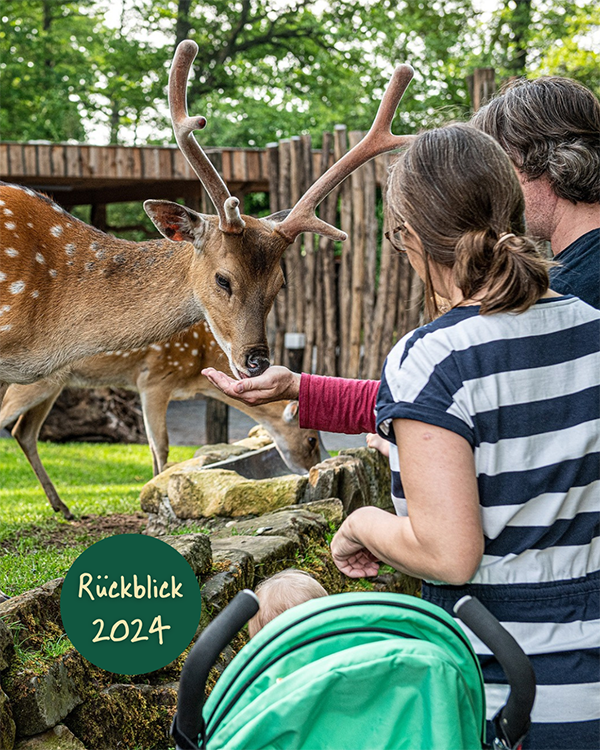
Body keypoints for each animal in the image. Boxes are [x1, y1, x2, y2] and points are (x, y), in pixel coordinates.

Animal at [0, 320, 326, 519]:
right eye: (311, 439)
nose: (313, 470)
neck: (198, 367)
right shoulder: (154, 379)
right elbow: (161, 446)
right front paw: (153, 502)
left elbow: (152, 445)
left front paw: (151, 498)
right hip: (34, 380)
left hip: (54, 382)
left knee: (23, 431)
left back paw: (63, 508)